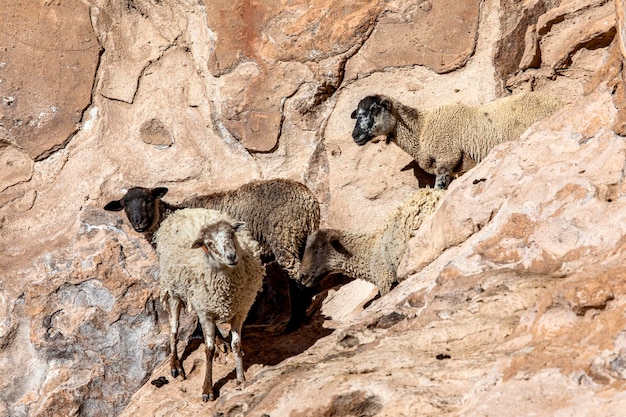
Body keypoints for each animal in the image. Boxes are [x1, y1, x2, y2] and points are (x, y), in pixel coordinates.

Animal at [156, 207, 266, 400]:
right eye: (210, 244)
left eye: (231, 234)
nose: (231, 256)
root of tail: (181, 211)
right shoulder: (206, 312)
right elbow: (208, 350)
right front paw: (207, 388)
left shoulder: (240, 310)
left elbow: (237, 344)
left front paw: (241, 379)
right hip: (173, 292)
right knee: (174, 328)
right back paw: (175, 364)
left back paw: (220, 341)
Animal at [352, 92, 560, 188]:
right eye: (357, 114)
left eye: (375, 109)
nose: (355, 135)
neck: (421, 127)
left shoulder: (447, 157)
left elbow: (439, 188)